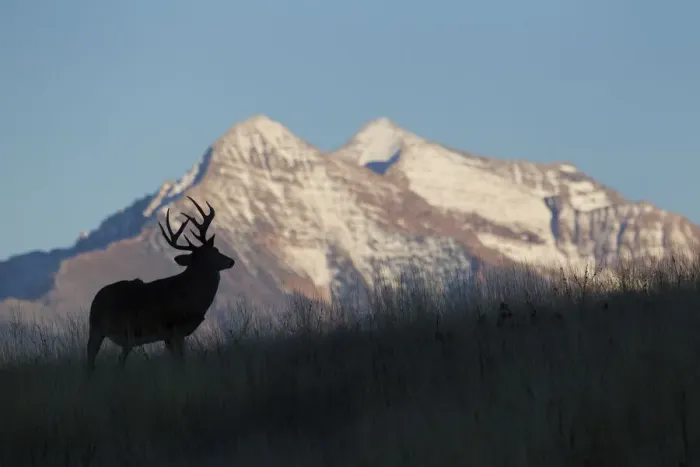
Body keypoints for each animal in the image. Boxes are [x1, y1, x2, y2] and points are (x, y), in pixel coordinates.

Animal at [86, 196, 235, 375]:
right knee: (89, 358)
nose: (231, 261)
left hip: (126, 339)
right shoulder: (175, 329)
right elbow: (180, 361)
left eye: (216, 249)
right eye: (213, 253)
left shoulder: (169, 336)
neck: (190, 295)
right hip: (96, 328)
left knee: (119, 361)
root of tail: (95, 299)